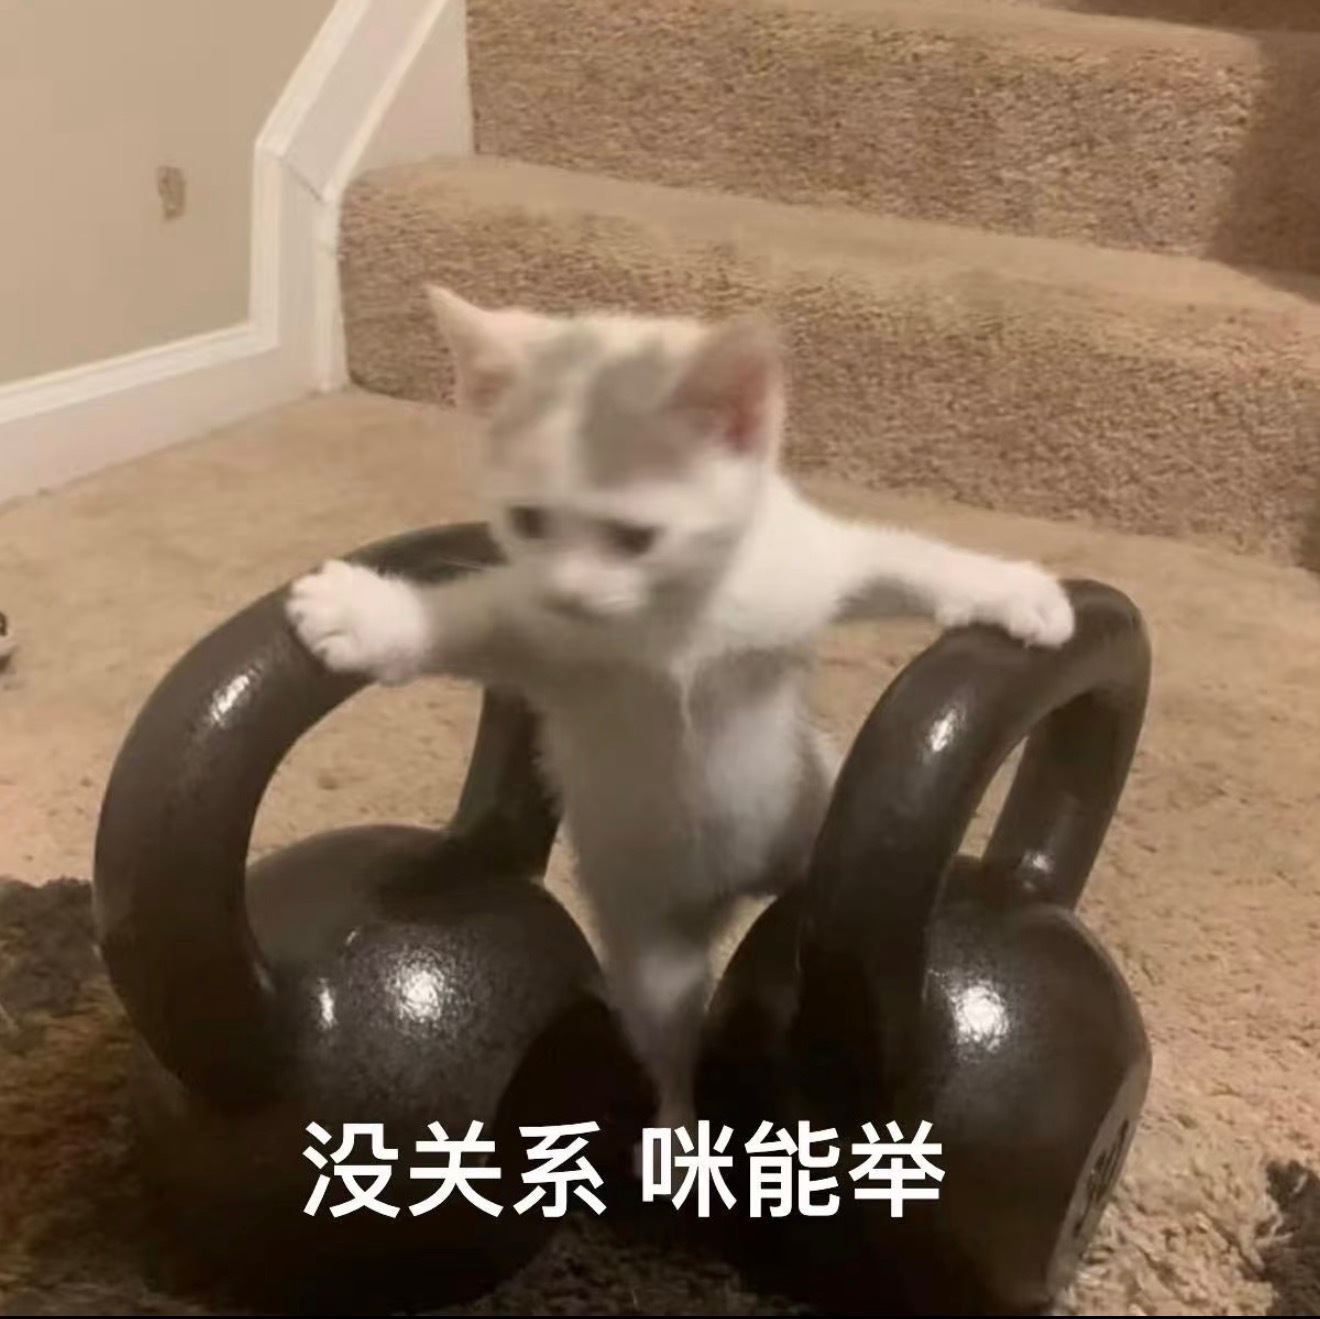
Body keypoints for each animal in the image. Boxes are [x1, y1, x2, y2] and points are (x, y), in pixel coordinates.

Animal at [285, 287, 1076, 1160]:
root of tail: (732, 888)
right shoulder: (541, 640)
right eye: (528, 520)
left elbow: (899, 557)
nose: (569, 594)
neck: (675, 622)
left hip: (809, 829)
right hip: (652, 943)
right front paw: (370, 614)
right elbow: (475, 617)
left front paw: (1014, 591)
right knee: (669, 1035)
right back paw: (676, 1129)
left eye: (637, 536)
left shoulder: (799, 568)